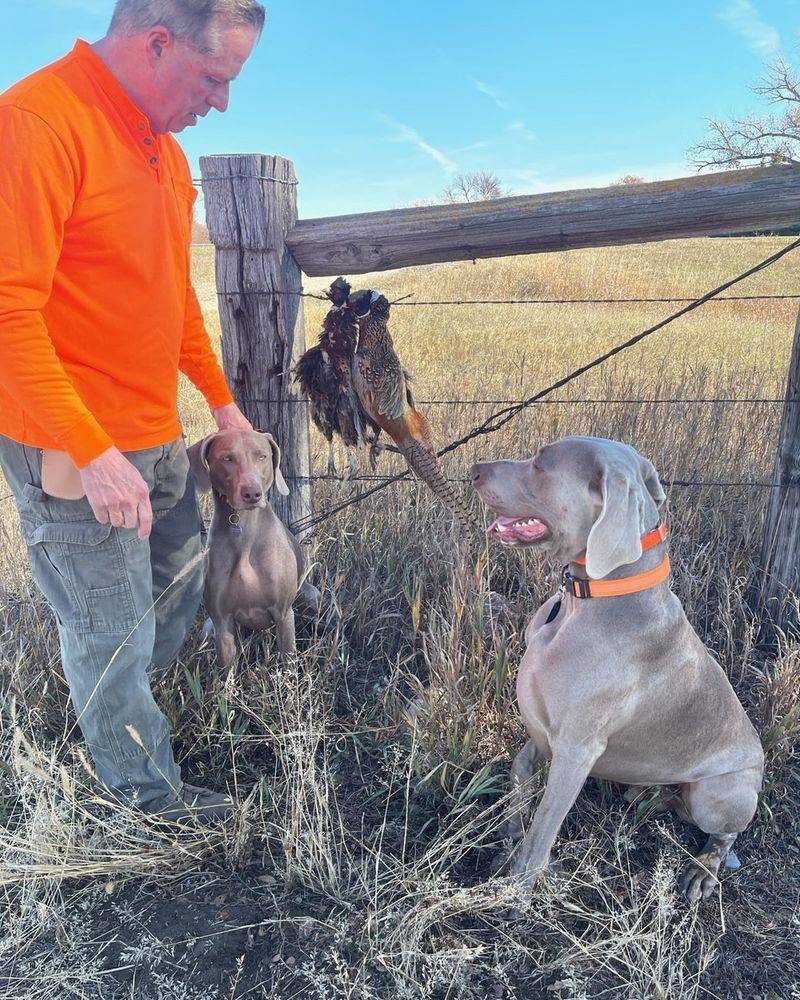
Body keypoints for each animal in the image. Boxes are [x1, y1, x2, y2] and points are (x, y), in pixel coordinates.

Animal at [188, 428, 318, 664]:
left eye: (262, 456)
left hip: (312, 596)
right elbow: (227, 668)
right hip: (209, 628)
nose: (252, 494)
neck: (243, 529)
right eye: (227, 458)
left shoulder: (284, 614)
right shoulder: (222, 623)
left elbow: (288, 664)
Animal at [468, 438, 764, 908]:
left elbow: (542, 831)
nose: (473, 469)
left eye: (540, 463)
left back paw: (702, 871)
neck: (583, 601)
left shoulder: (577, 749)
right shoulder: (540, 732)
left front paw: (516, 891)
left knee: (725, 835)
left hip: (721, 793)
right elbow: (520, 777)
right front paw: (506, 839)